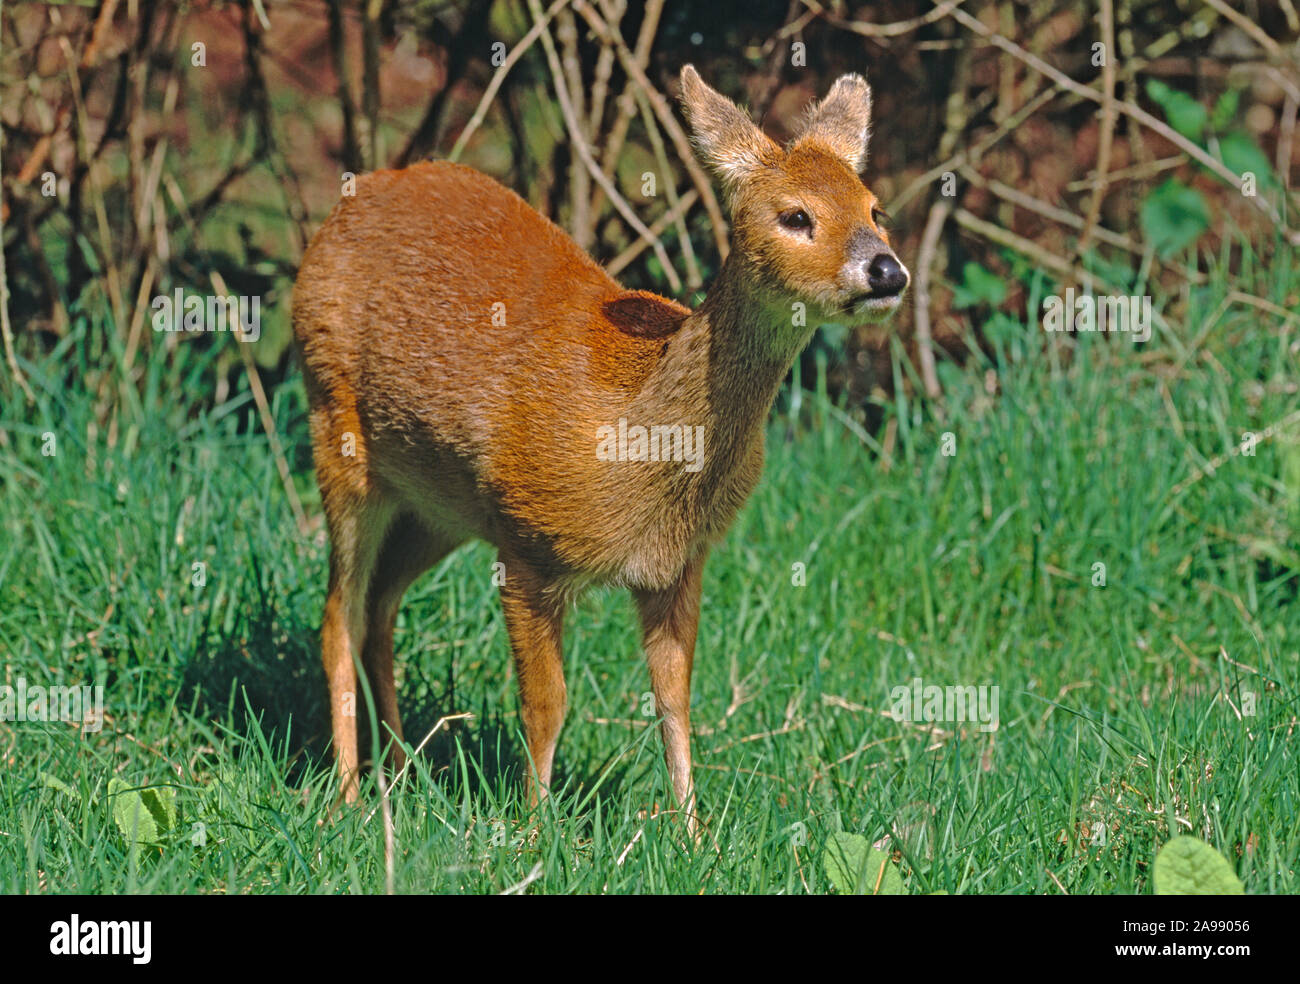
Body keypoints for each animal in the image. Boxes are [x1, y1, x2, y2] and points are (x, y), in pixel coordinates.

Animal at [292, 65, 904, 826]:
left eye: (875, 209)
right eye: (796, 216)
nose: (888, 270)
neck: (640, 443)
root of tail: (346, 207)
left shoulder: (678, 564)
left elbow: (675, 702)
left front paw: (691, 831)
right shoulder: (528, 542)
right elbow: (546, 706)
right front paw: (531, 828)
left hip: (439, 505)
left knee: (378, 606)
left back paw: (400, 773)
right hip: (337, 432)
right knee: (336, 616)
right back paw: (349, 796)